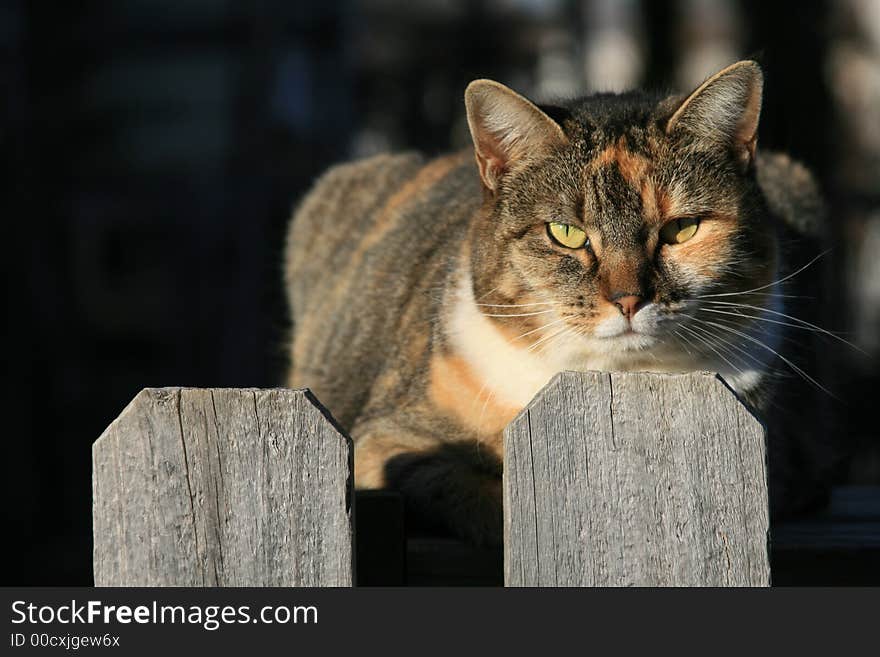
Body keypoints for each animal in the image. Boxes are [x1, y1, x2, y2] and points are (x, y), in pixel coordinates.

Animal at [286, 60, 828, 544]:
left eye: (682, 229)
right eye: (566, 233)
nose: (628, 299)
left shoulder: (784, 450)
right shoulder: (384, 437)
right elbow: (462, 484)